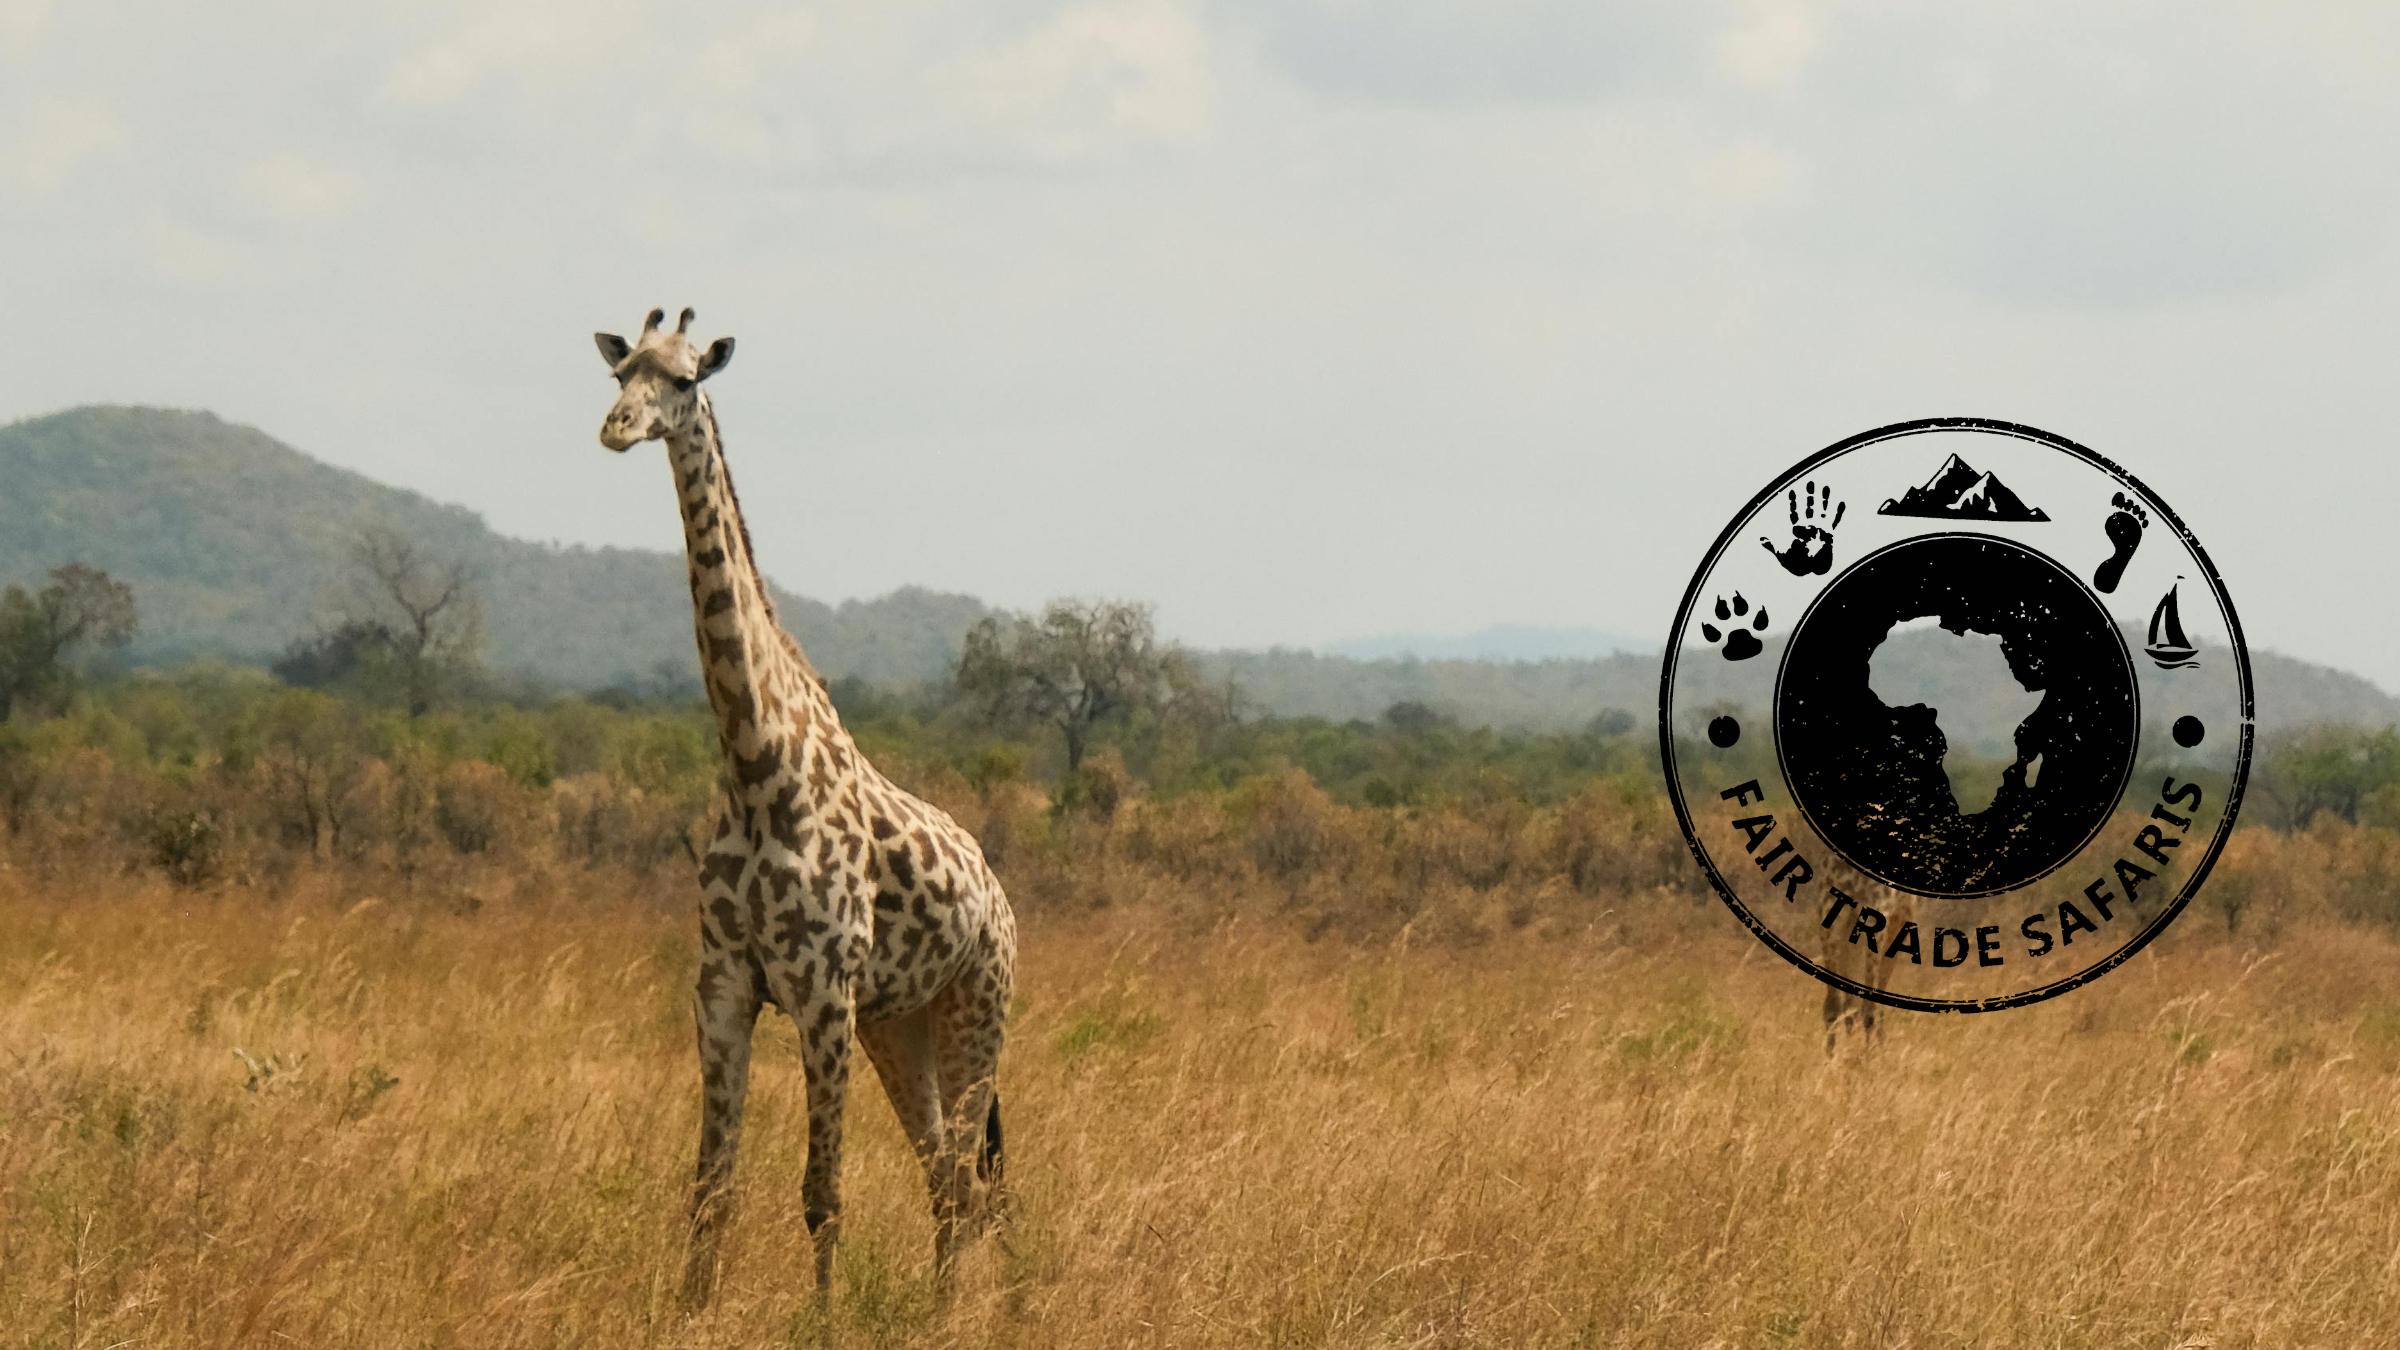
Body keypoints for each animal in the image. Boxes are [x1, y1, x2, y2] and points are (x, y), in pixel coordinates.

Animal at [592, 307, 1018, 1307]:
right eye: (622, 372)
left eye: (684, 380)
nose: (617, 428)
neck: (756, 765)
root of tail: (999, 896)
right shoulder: (722, 985)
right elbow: (711, 1188)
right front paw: (689, 1312)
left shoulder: (822, 992)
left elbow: (821, 1193)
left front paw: (820, 1320)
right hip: (899, 1023)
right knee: (945, 1178)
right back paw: (937, 1310)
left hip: (977, 1009)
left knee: (969, 1186)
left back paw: (952, 1314)